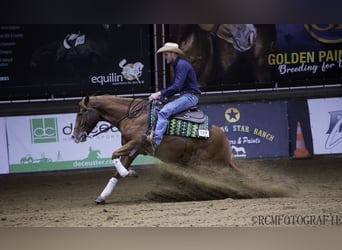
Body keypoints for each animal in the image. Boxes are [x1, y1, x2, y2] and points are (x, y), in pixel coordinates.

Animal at [72, 94, 236, 204]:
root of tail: (224, 141)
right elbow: (117, 171)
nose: (74, 136)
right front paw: (102, 196)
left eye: (80, 113)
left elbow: (114, 155)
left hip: (203, 164)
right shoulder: (133, 150)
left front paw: (130, 173)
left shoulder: (135, 142)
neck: (133, 117)